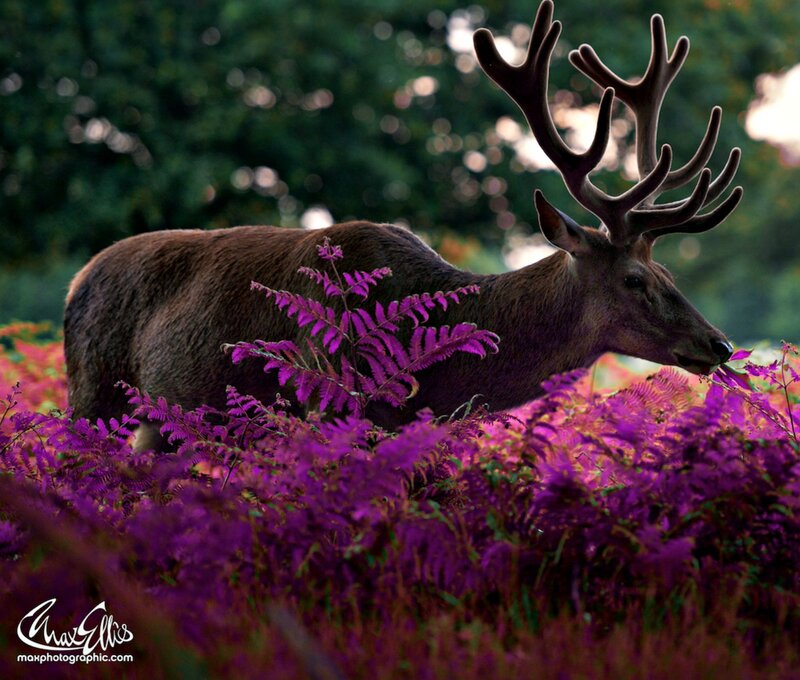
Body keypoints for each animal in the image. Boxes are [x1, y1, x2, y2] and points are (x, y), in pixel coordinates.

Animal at [64, 0, 742, 451]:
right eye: (634, 280)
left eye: (669, 271)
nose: (720, 344)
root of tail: (77, 279)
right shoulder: (331, 407)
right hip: (92, 392)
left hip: (162, 423)